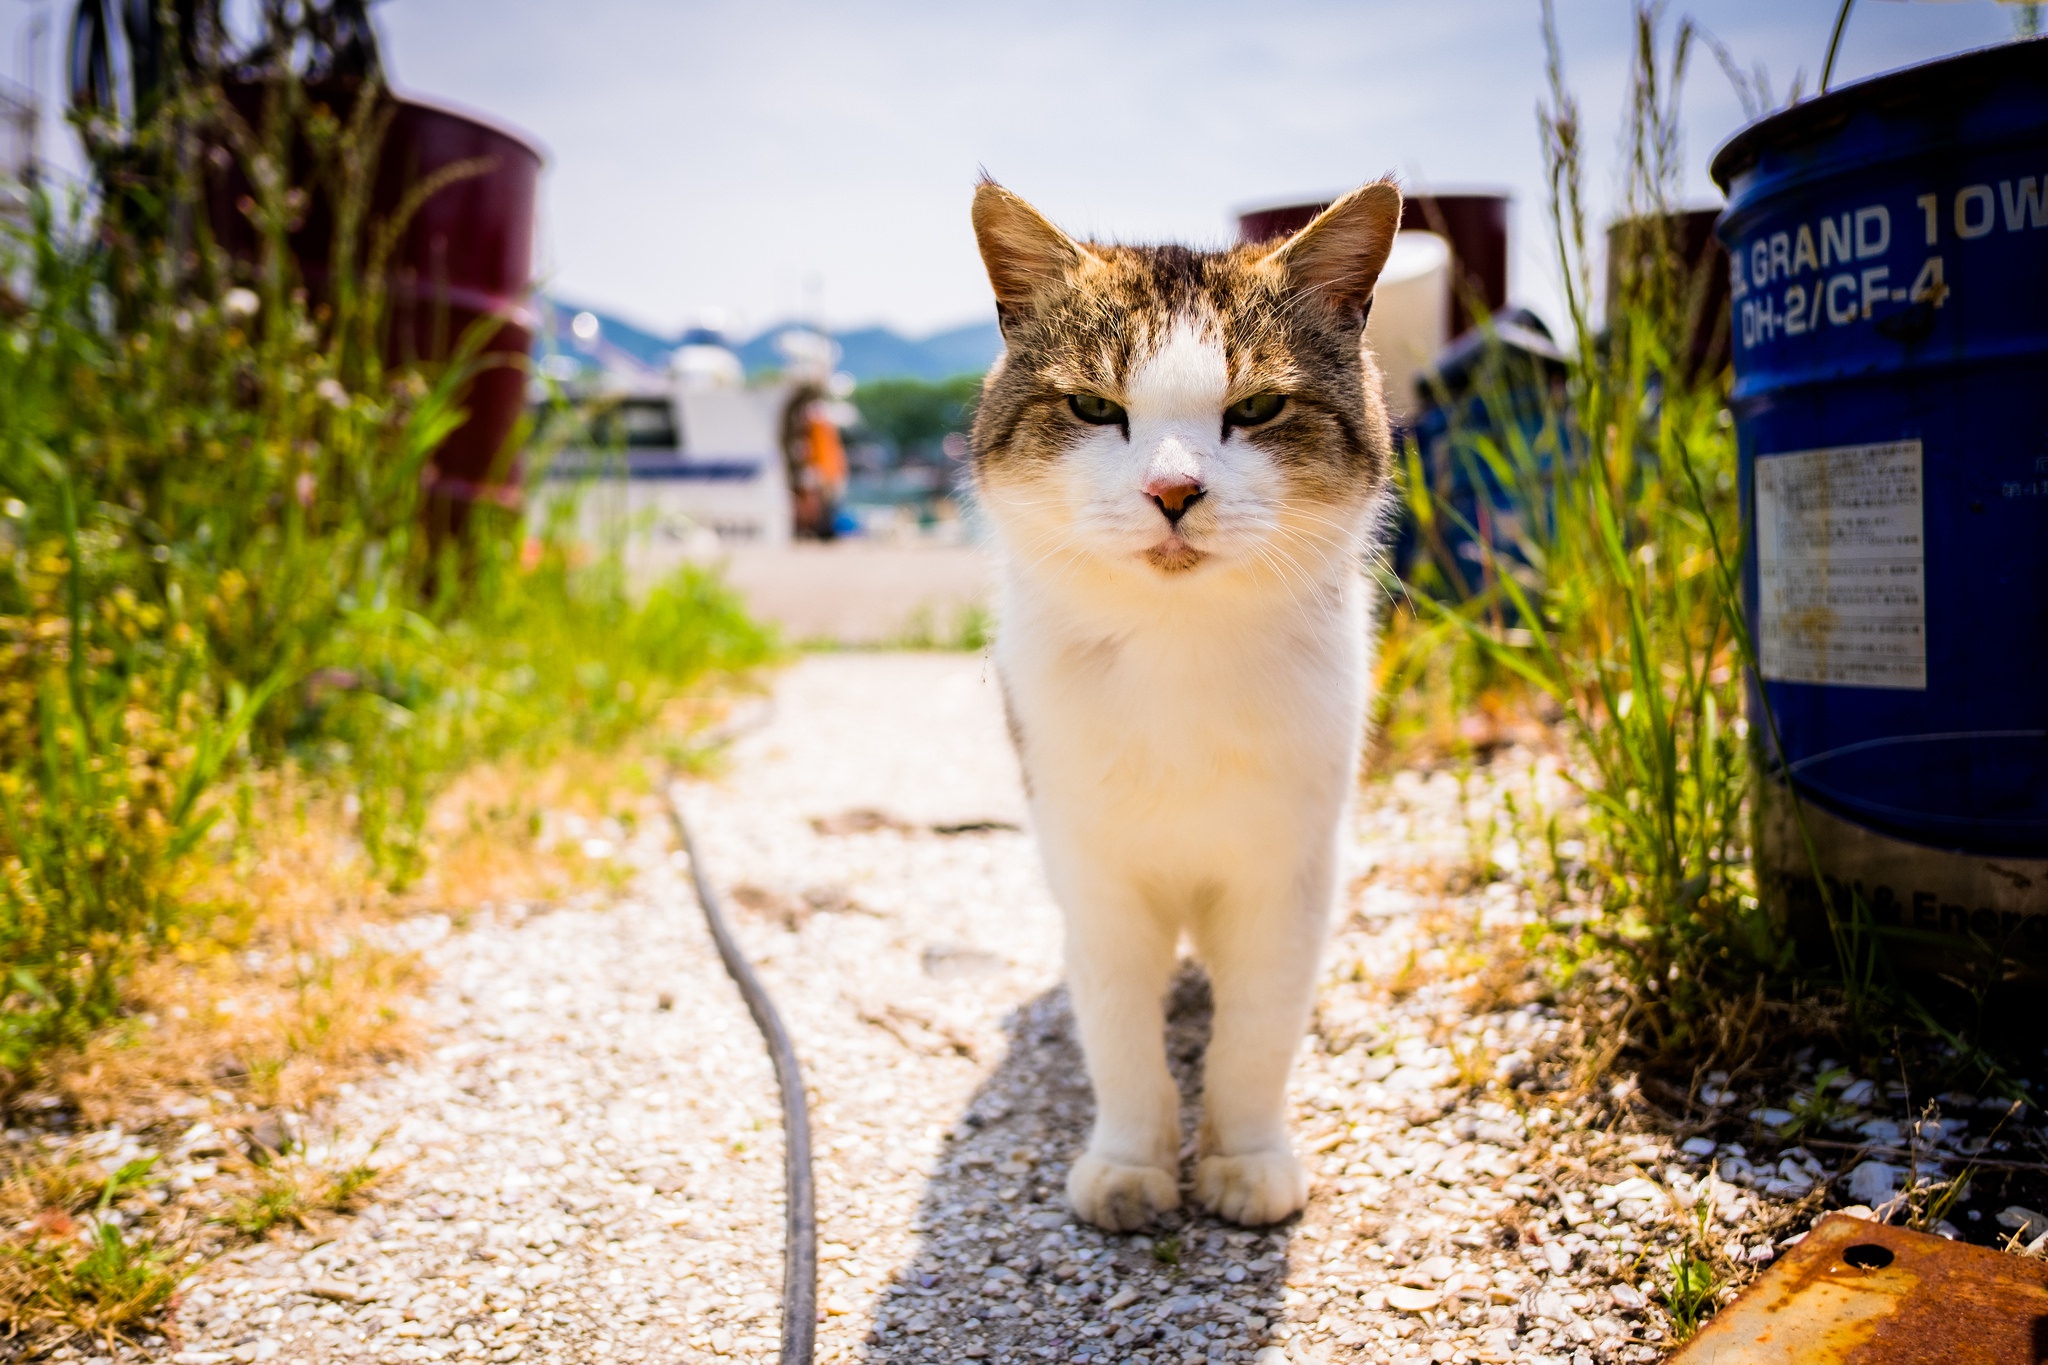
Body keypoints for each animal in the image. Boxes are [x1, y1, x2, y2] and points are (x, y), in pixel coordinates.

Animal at [966, 175, 1400, 1236]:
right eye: (1092, 406)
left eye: (1259, 406)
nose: (1173, 489)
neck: (1179, 650)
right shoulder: (1095, 868)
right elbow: (1119, 1025)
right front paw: (1131, 1161)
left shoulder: (1288, 869)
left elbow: (1258, 1029)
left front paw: (1246, 1156)